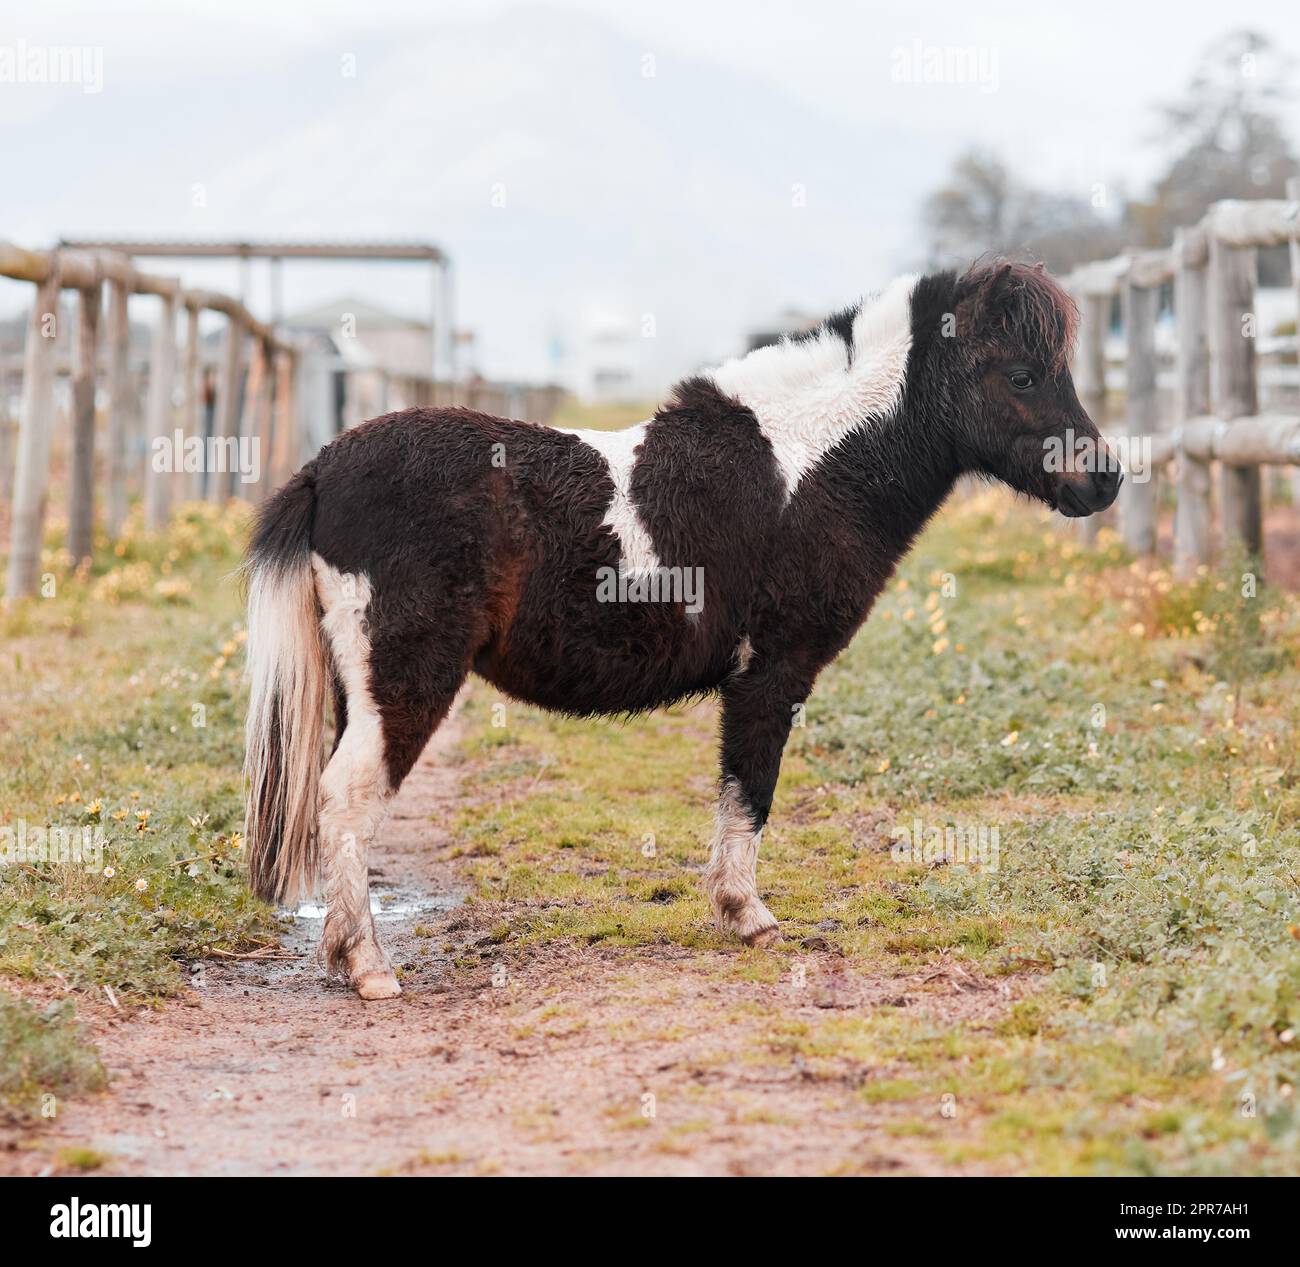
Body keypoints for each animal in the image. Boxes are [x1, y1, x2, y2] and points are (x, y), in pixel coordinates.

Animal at [241, 259, 1118, 1003]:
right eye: (1022, 374)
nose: (1103, 479)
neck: (807, 464)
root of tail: (324, 470)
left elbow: (738, 790)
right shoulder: (772, 672)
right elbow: (751, 790)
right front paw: (748, 915)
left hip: (360, 687)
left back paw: (340, 951)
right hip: (406, 681)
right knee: (348, 799)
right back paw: (370, 968)